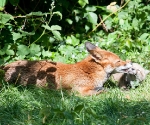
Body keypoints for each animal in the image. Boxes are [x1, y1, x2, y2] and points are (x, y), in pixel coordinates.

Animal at [2, 42, 131, 95]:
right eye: (119, 61)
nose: (130, 62)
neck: (91, 72)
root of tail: (4, 66)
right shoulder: (78, 91)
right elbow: (103, 91)